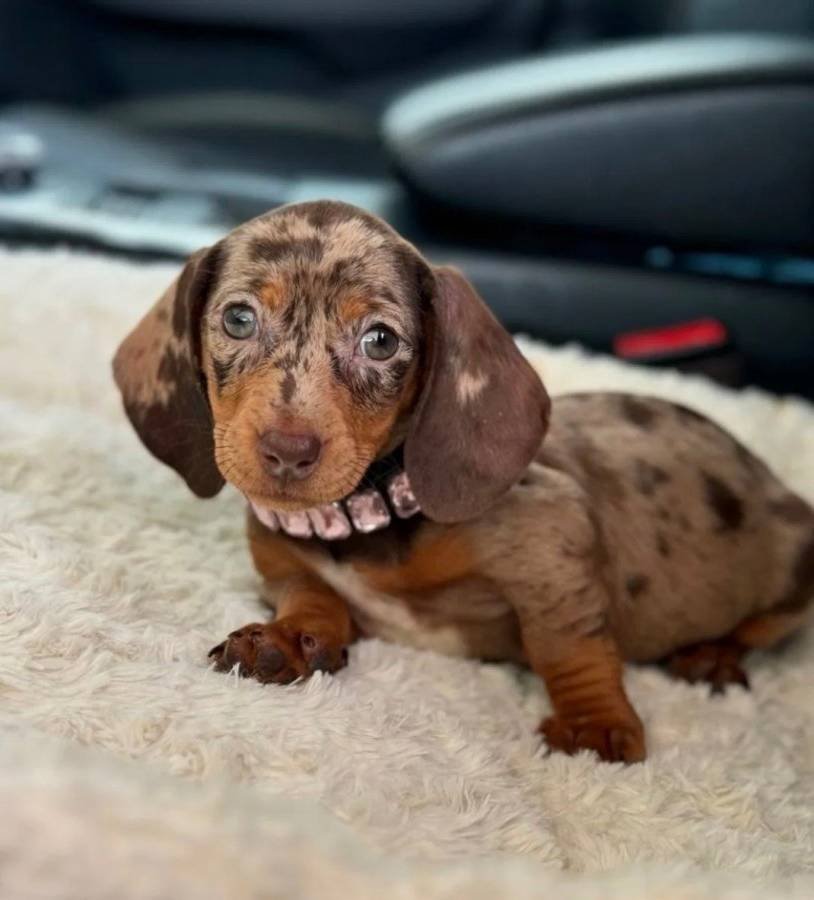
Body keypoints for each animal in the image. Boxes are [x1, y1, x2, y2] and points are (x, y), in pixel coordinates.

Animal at [113, 200, 814, 763]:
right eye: (238, 319)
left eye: (380, 340)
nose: (287, 453)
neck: (369, 515)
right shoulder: (285, 568)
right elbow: (315, 598)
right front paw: (287, 640)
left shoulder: (553, 544)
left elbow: (566, 644)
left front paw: (592, 723)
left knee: (762, 627)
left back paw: (715, 653)